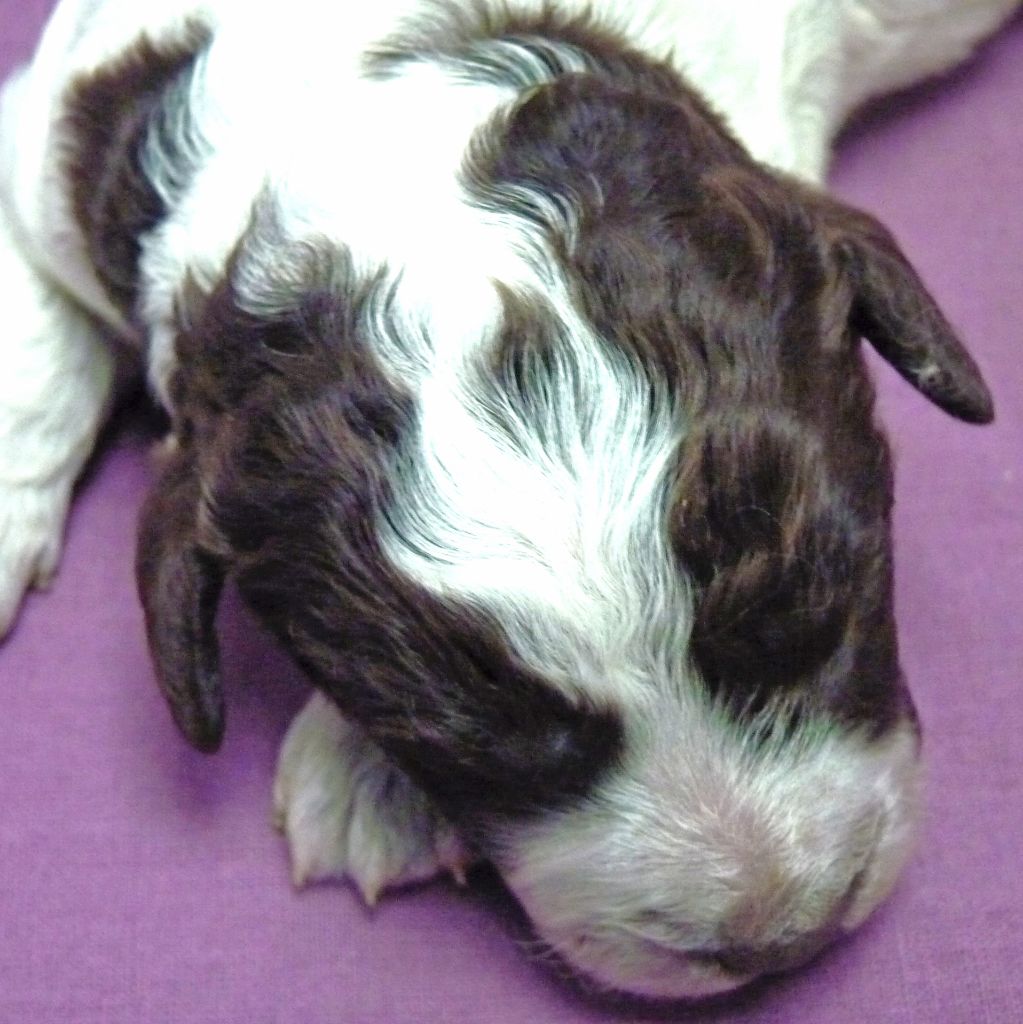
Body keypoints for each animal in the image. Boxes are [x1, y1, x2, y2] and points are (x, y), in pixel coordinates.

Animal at [0, 0, 1014, 1002]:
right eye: (474, 746)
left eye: (826, 612)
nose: (776, 941)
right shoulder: (45, 146)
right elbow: (35, 350)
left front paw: (361, 779)